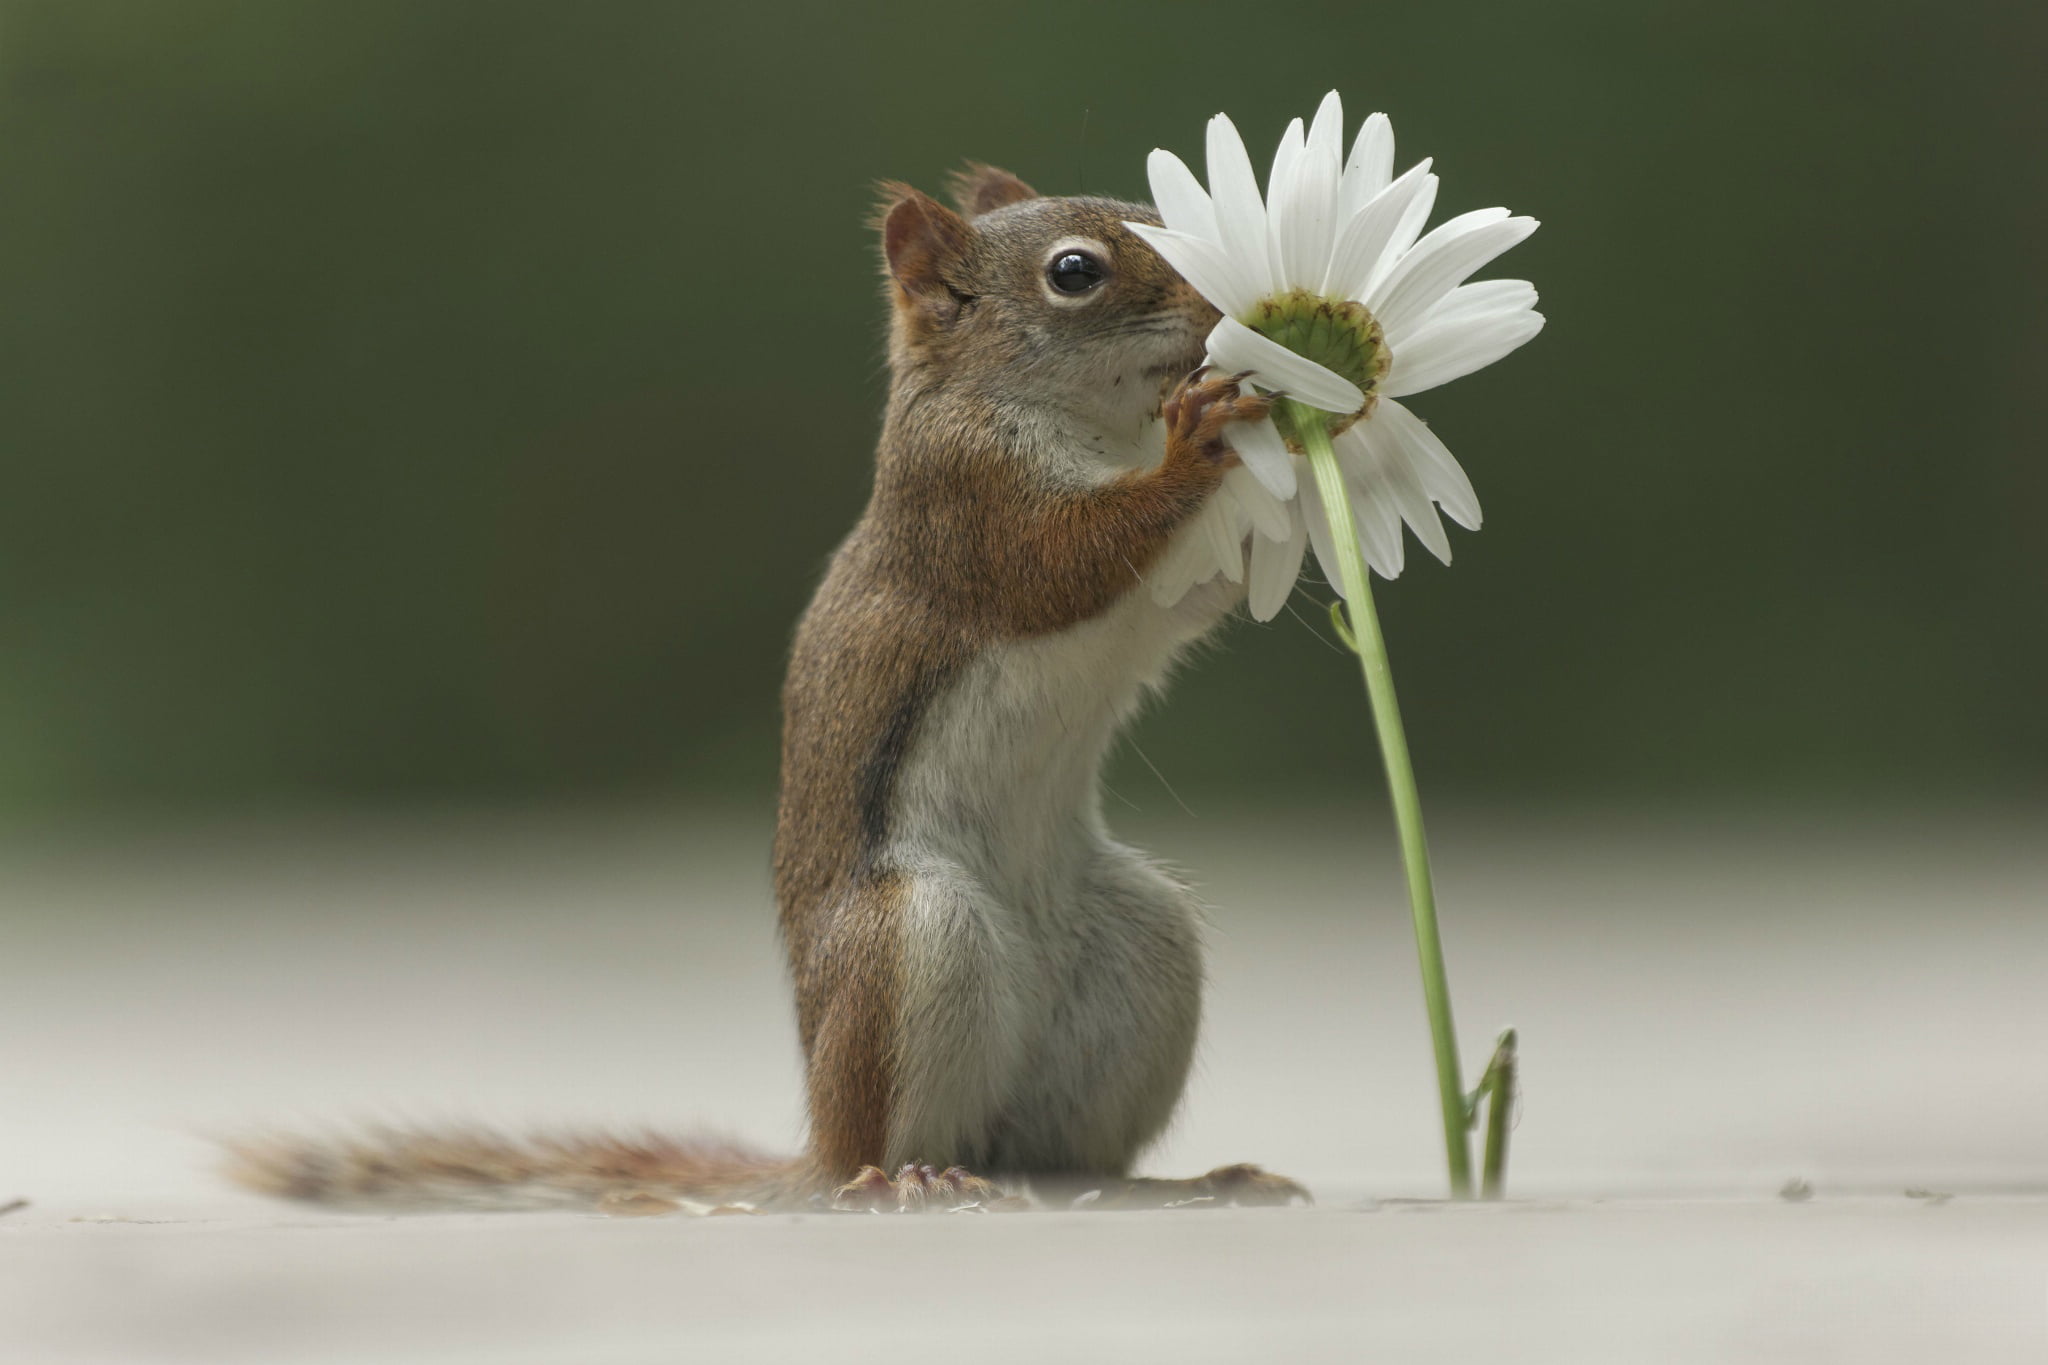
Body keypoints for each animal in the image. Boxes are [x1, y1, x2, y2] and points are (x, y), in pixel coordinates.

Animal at [228, 162, 1310, 1219]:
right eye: (1075, 271)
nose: (1221, 305)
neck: (1086, 425)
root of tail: (814, 1151)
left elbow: (1197, 587)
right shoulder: (966, 503)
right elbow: (1067, 563)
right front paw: (1200, 442)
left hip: (1140, 949)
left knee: (1061, 1158)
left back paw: (1183, 1182)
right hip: (907, 940)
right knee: (881, 1149)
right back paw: (906, 1179)